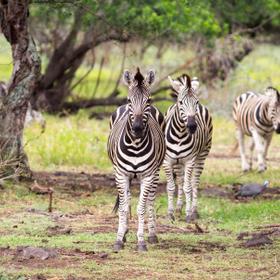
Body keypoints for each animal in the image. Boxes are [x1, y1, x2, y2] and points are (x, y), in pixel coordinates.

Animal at [107, 67, 165, 252]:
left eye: (149, 100)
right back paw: (124, 232)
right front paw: (119, 239)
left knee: (151, 200)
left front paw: (141, 241)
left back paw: (152, 235)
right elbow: (124, 208)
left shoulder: (147, 175)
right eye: (129, 100)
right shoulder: (121, 174)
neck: (135, 145)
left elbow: (141, 208)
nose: (137, 129)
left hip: (156, 172)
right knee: (126, 200)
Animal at [162, 74, 212, 223]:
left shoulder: (190, 161)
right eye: (180, 102)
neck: (179, 135)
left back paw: (194, 211)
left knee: (194, 182)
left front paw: (189, 214)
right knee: (180, 181)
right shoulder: (167, 161)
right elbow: (171, 187)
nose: (192, 126)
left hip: (202, 155)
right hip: (178, 163)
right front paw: (170, 213)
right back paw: (178, 209)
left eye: (196, 102)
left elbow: (188, 187)